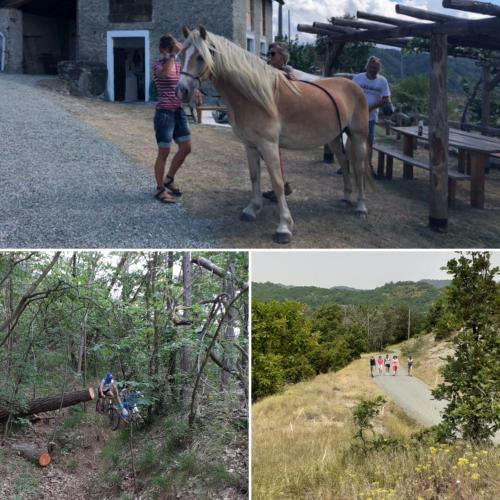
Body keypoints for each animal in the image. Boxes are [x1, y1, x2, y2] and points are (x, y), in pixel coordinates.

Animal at [177, 25, 372, 244]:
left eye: (201, 57)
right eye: (182, 54)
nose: (181, 91)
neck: (254, 96)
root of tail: (353, 84)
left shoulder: (268, 145)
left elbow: (278, 183)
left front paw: (284, 226)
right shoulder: (250, 145)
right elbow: (254, 176)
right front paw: (252, 209)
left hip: (358, 137)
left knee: (358, 168)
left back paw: (361, 207)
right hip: (334, 138)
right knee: (345, 164)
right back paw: (346, 198)